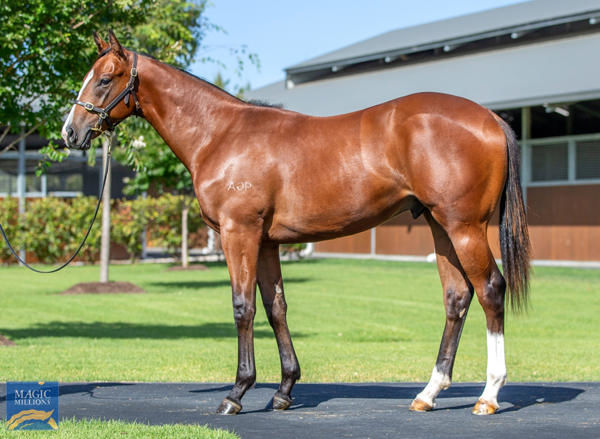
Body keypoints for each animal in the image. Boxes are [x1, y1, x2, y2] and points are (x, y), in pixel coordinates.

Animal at [62, 31, 528, 416]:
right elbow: (276, 308)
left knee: (490, 290)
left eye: (105, 79)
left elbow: (243, 307)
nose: (71, 132)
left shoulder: (239, 233)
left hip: (464, 227)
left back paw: (488, 395)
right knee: (456, 297)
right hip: (439, 226)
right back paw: (428, 394)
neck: (220, 134)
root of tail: (490, 118)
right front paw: (284, 390)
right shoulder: (267, 241)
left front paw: (237, 392)